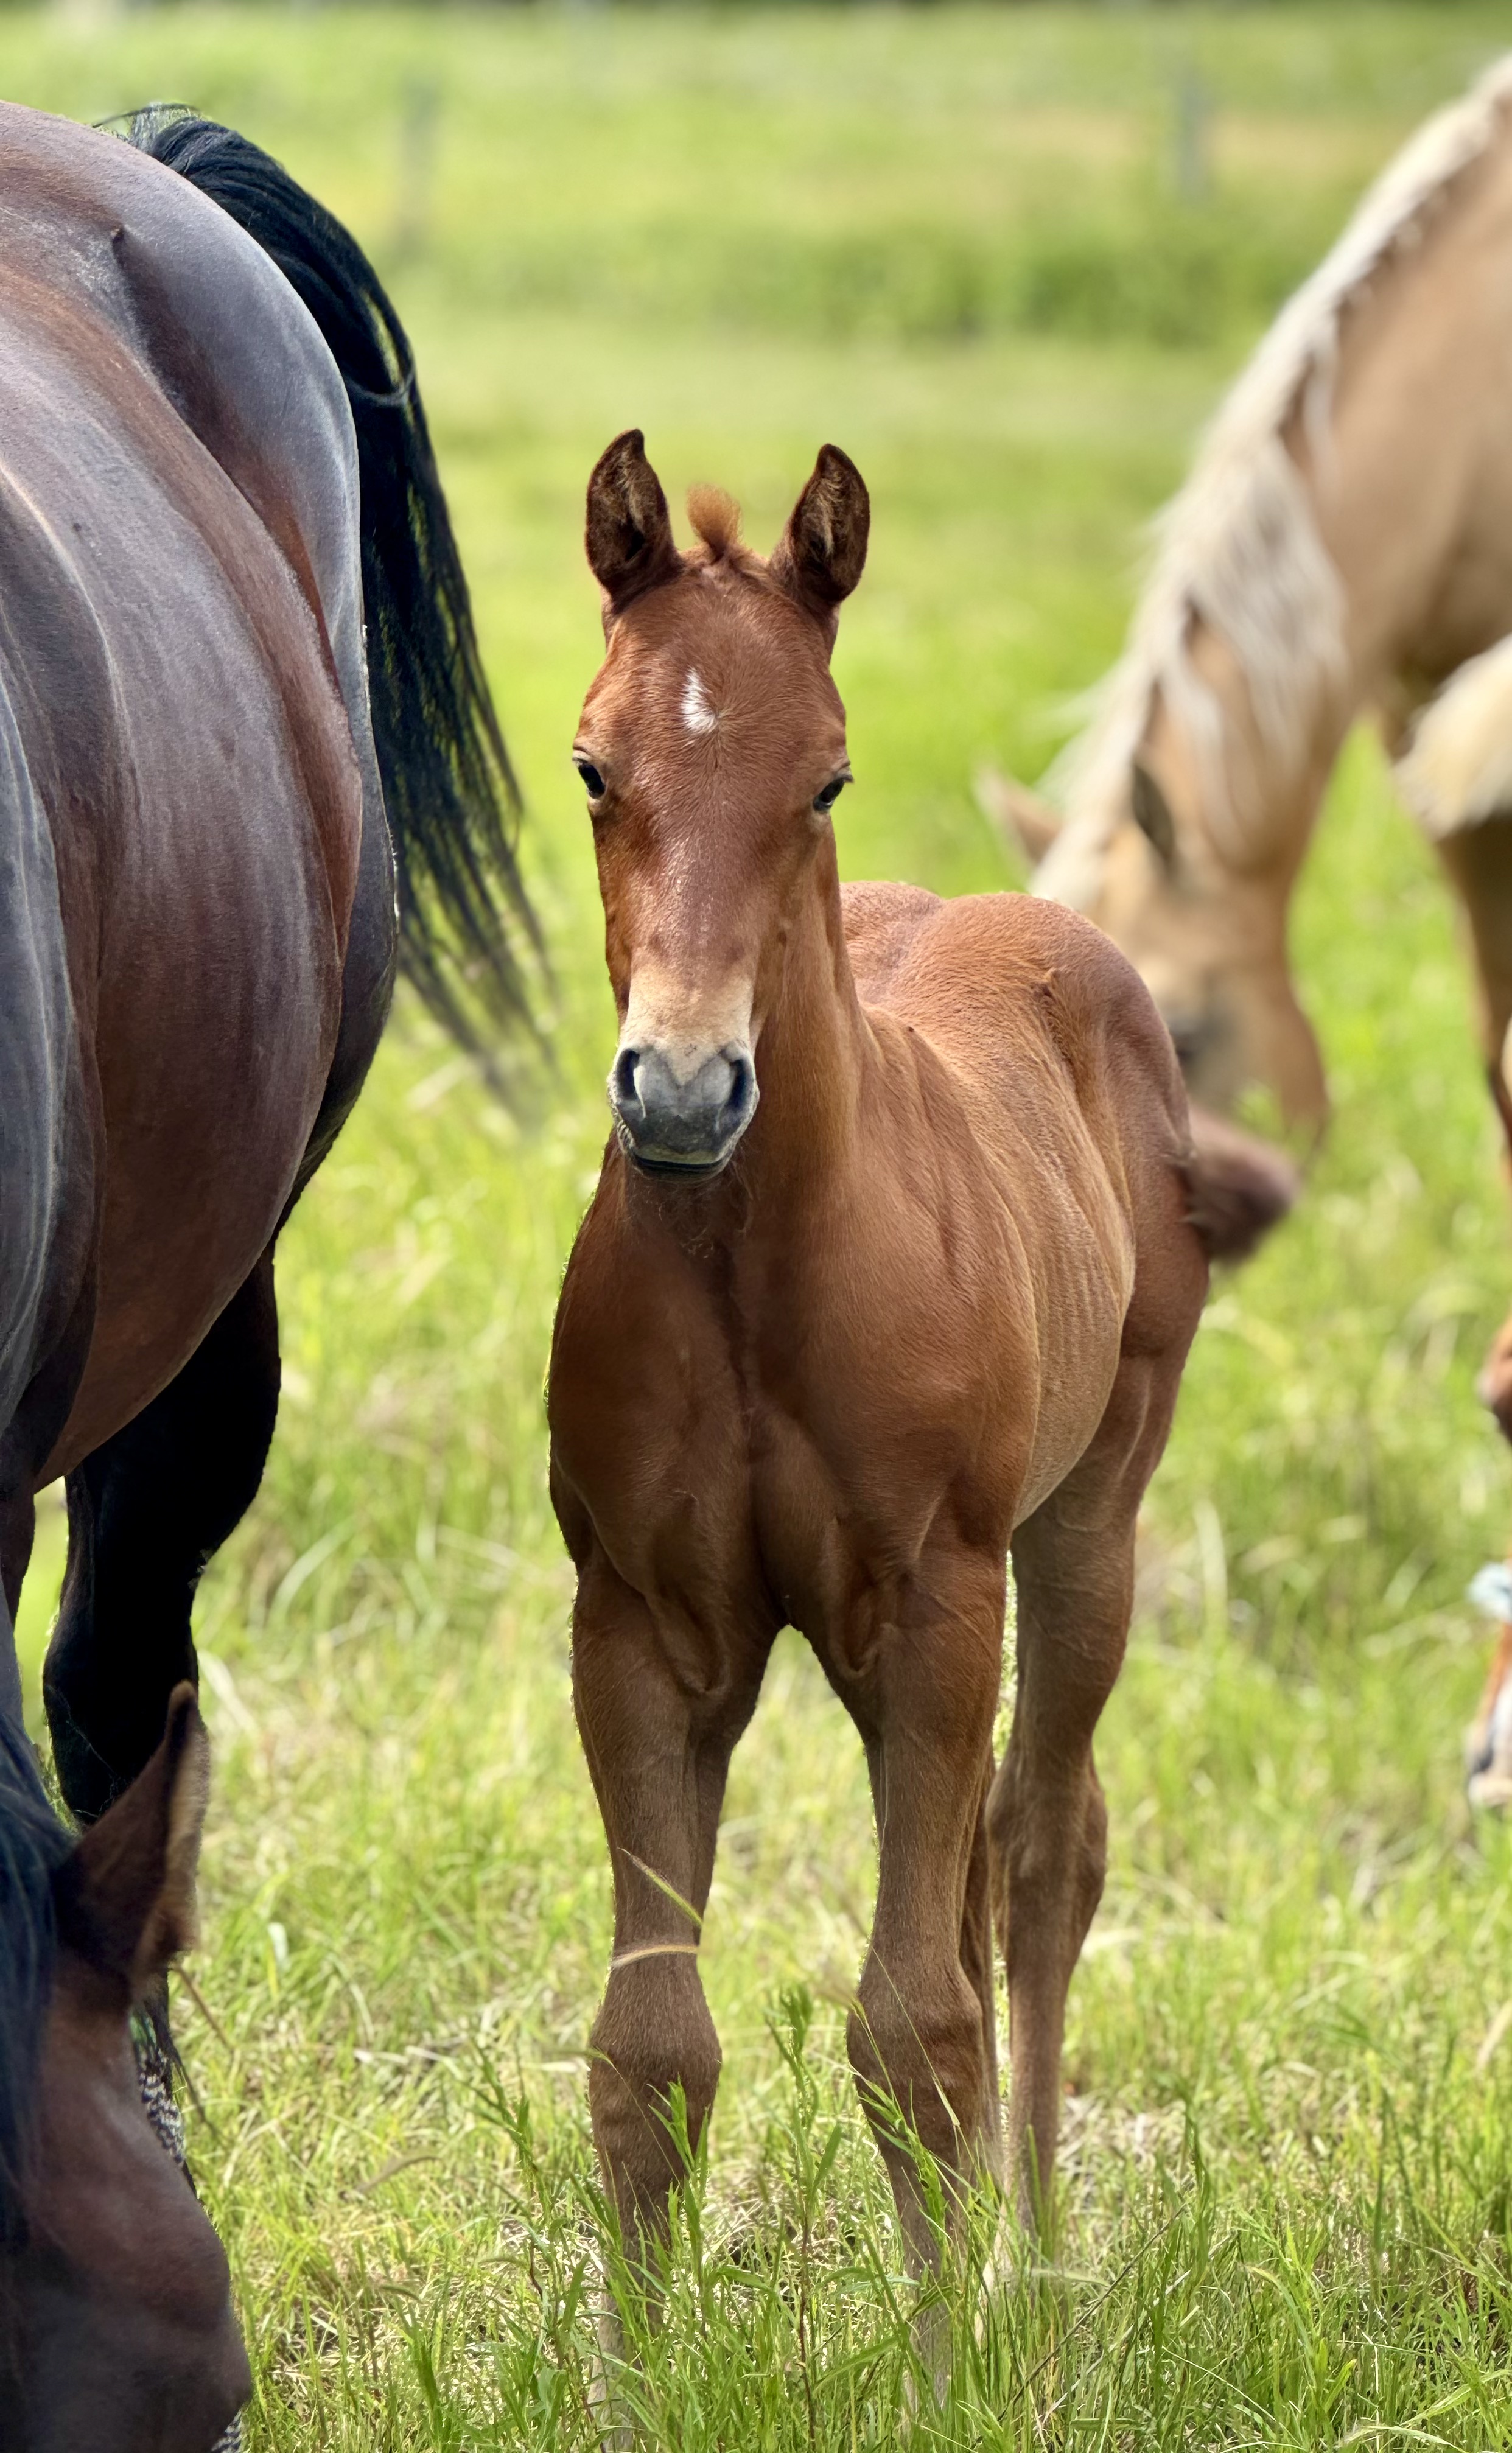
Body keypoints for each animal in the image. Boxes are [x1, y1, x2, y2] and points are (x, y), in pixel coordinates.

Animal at [547, 430, 1252, 2348]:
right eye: (591, 764)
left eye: (826, 774)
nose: (683, 1089)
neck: (755, 1277)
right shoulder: (639, 1626)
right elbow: (649, 2043)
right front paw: (635, 2380)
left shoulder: (934, 1599)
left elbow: (911, 2024)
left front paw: (951, 2368)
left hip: (1082, 1529)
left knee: (1037, 1853)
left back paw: (1035, 2257)